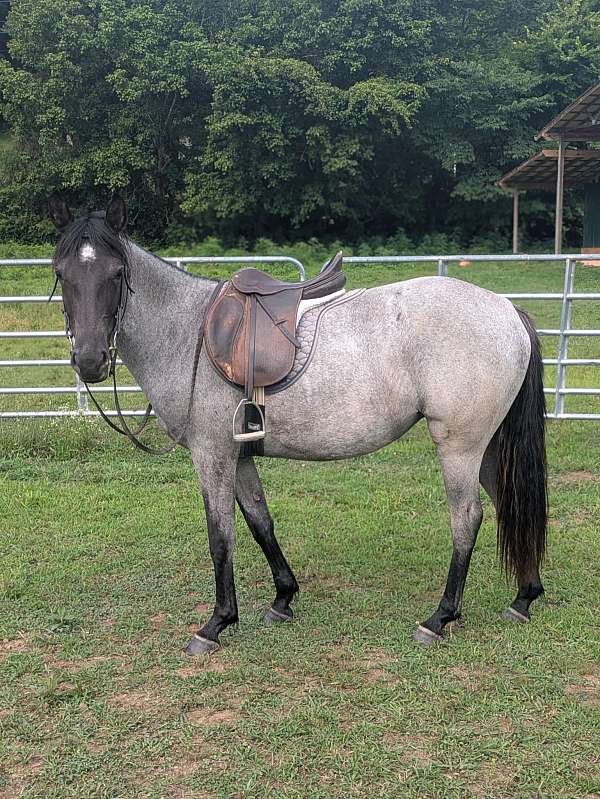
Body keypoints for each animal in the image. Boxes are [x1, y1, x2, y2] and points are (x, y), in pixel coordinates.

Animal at [48, 195, 548, 656]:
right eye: (62, 273)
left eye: (116, 274)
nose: (90, 361)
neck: (188, 333)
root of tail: (507, 311)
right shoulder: (239, 456)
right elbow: (259, 522)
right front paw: (283, 598)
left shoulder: (212, 455)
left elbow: (220, 535)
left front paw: (215, 623)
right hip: (487, 448)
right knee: (508, 502)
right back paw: (524, 597)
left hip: (459, 446)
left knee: (467, 518)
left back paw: (440, 618)